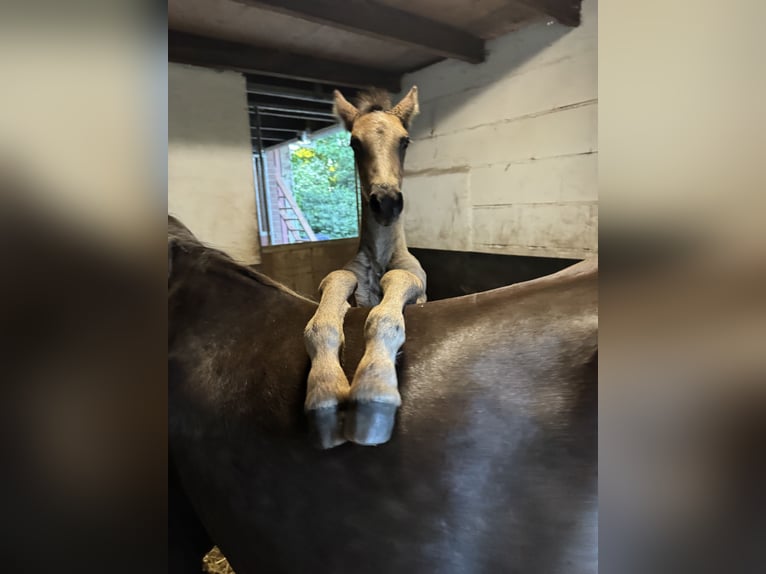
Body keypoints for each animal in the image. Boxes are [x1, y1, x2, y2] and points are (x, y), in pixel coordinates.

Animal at [304, 87, 428, 448]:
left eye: (404, 140)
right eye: (354, 143)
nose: (385, 202)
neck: (380, 257)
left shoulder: (416, 287)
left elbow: (390, 301)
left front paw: (374, 389)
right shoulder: (349, 288)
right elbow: (336, 285)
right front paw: (325, 394)